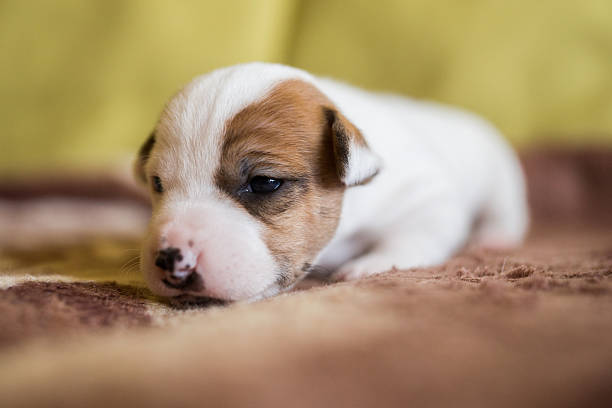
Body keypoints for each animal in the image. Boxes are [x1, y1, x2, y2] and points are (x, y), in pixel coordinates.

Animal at [134, 62, 524, 302]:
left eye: (265, 182)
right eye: (157, 183)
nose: (169, 258)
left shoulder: (426, 195)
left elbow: (415, 234)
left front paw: (372, 264)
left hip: (500, 174)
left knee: (505, 207)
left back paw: (496, 236)